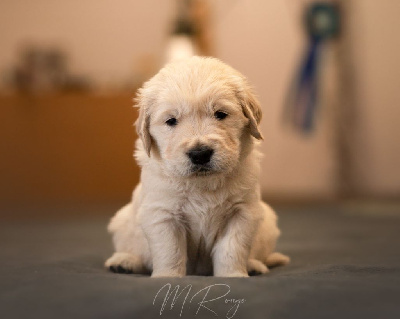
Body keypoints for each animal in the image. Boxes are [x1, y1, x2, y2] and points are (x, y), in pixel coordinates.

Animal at [104, 55, 290, 278]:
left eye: (220, 114)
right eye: (171, 120)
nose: (200, 154)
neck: (202, 184)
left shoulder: (243, 212)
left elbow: (232, 248)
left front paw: (233, 275)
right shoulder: (162, 214)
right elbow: (170, 250)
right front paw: (167, 276)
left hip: (267, 222)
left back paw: (254, 265)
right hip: (122, 222)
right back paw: (124, 261)